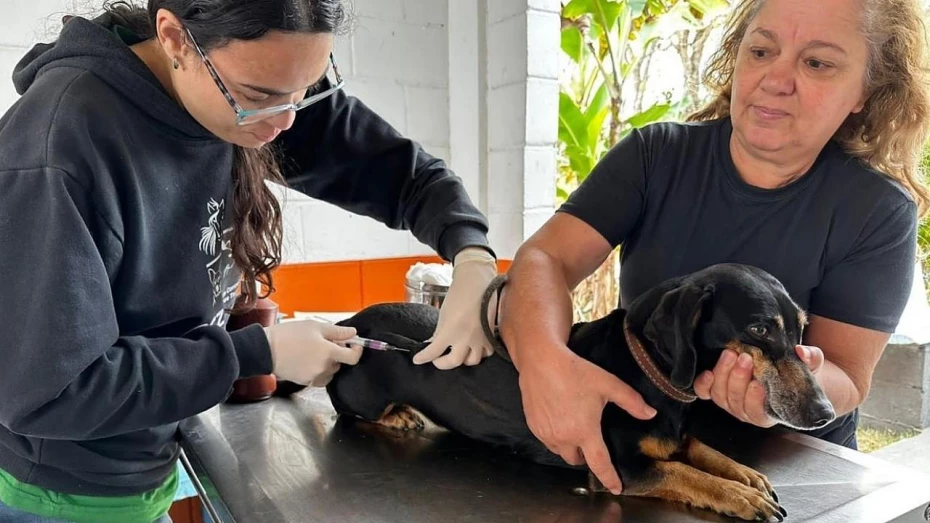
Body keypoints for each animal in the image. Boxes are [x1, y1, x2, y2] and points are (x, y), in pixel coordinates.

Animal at [304, 264, 832, 520]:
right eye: (760, 329)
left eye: (801, 328)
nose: (824, 411)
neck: (646, 372)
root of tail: (353, 323)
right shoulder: (619, 470)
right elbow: (687, 475)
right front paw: (739, 497)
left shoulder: (677, 438)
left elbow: (705, 453)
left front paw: (747, 476)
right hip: (362, 394)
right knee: (346, 408)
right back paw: (397, 415)